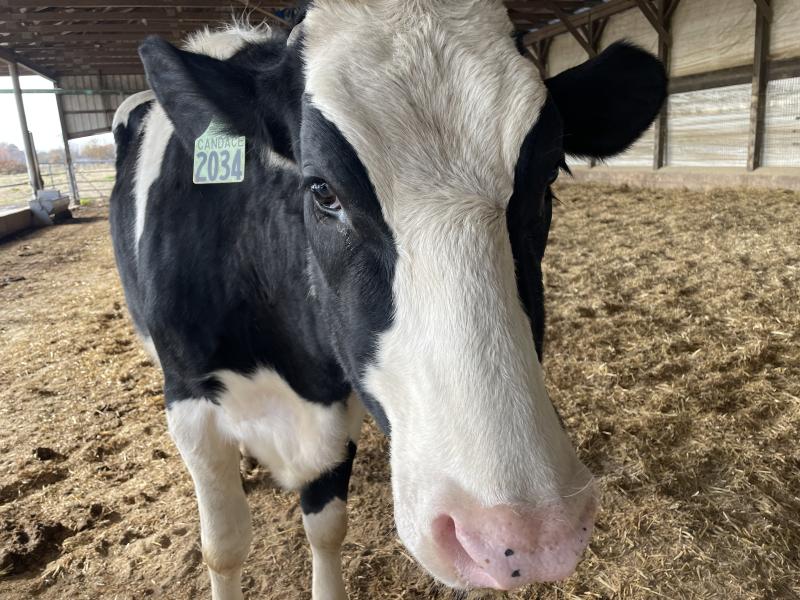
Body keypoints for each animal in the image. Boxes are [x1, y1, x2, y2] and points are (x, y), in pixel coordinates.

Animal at [109, 2, 666, 598]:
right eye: (322, 190)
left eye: (547, 177)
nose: (529, 537)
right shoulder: (188, 402)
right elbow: (225, 547)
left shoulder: (339, 408)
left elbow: (327, 528)